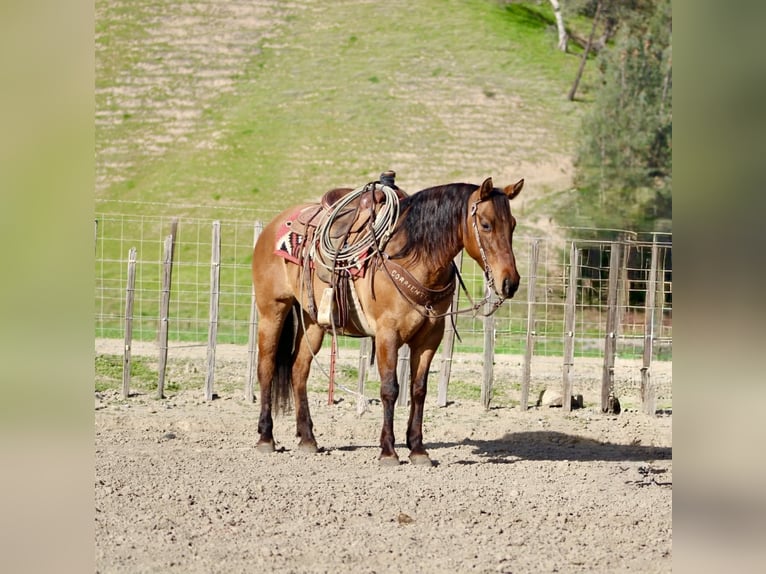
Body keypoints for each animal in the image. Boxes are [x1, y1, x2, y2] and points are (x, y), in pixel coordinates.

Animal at [251, 175, 524, 466]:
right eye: (486, 224)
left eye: (513, 225)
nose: (510, 282)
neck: (413, 256)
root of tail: (274, 225)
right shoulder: (387, 334)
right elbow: (390, 388)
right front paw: (389, 451)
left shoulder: (430, 337)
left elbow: (418, 389)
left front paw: (418, 449)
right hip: (272, 310)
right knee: (266, 366)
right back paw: (266, 437)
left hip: (313, 321)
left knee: (299, 369)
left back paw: (308, 439)